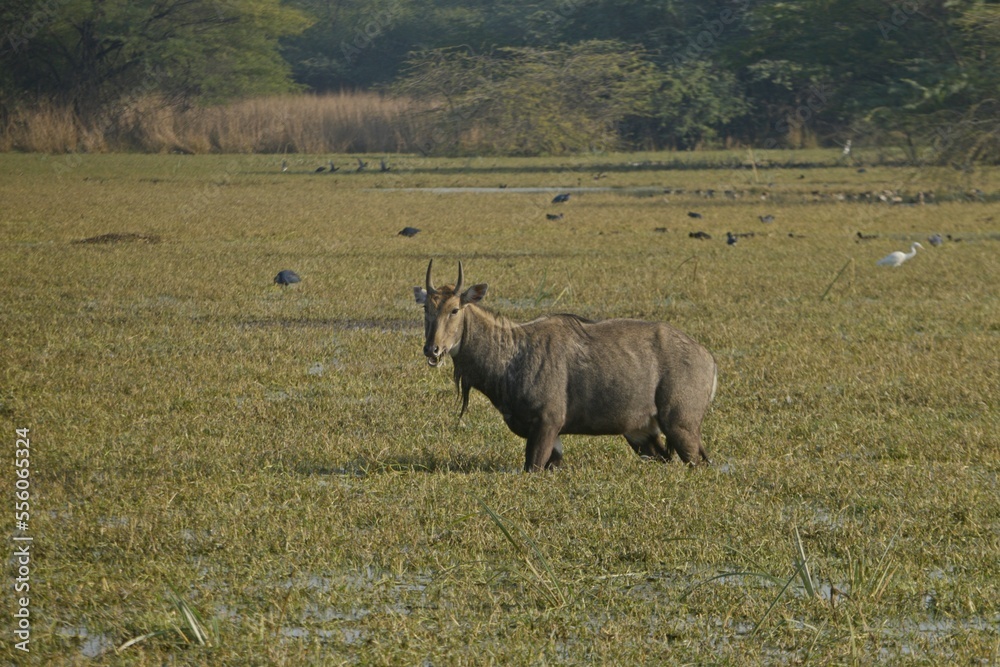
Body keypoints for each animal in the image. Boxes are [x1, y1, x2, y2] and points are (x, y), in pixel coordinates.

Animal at [414, 260, 718, 472]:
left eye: (455, 309)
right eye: (427, 308)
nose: (432, 349)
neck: (510, 354)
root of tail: (709, 359)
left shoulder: (547, 422)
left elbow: (531, 468)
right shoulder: (550, 434)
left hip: (681, 424)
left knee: (700, 461)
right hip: (641, 432)